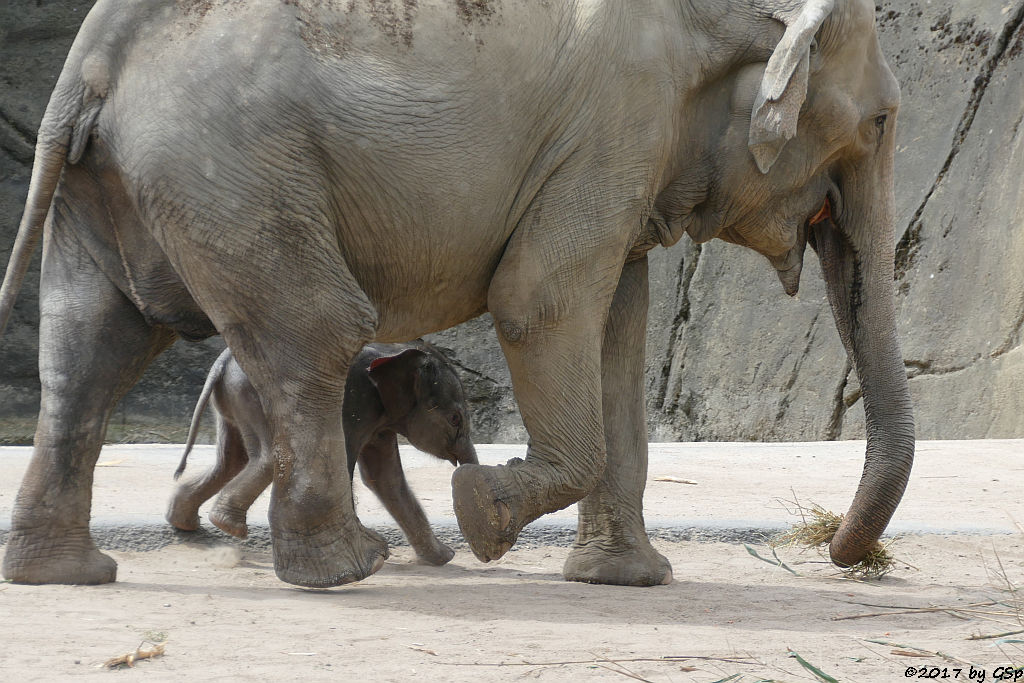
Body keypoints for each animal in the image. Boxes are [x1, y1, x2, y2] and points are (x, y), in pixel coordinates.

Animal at [165, 342, 477, 565]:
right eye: (455, 419)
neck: (395, 351)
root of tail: (222, 362)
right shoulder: (355, 404)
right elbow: (349, 466)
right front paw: (373, 548)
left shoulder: (379, 419)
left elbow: (386, 479)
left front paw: (443, 558)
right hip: (259, 396)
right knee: (268, 457)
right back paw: (229, 528)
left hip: (234, 398)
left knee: (230, 460)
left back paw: (187, 524)